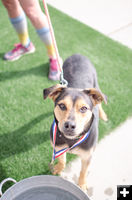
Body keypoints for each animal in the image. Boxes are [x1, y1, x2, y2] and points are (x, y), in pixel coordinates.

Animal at [43, 54, 107, 191]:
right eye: (62, 106)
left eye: (83, 108)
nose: (69, 126)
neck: (71, 140)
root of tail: (78, 54)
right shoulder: (57, 146)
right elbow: (62, 160)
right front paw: (58, 168)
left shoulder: (87, 156)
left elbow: (83, 171)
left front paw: (82, 184)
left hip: (96, 84)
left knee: (101, 101)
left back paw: (103, 115)